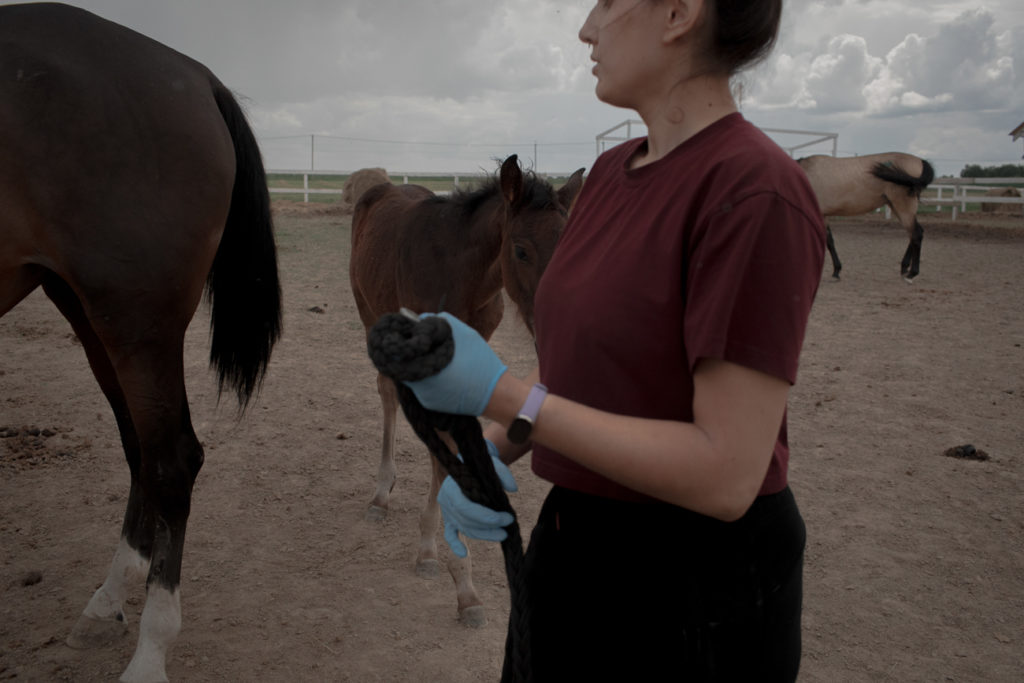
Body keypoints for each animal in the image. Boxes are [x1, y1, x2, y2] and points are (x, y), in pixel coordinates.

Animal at [0, 3, 280, 679]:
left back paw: (151, 649)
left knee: (171, 460)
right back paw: (106, 602)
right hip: (85, 308)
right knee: (139, 453)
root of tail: (198, 76)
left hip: (133, 319)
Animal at [348, 157, 581, 626]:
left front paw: (452, 569)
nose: (554, 327)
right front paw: (451, 569)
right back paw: (381, 494)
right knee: (386, 391)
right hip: (369, 312)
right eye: (521, 250)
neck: (463, 275)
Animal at [798, 153, 937, 282]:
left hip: (903, 207)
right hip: (896, 207)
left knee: (916, 234)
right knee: (913, 235)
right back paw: (904, 268)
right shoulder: (824, 216)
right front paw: (836, 271)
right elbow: (830, 241)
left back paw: (912, 274)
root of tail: (920, 161)